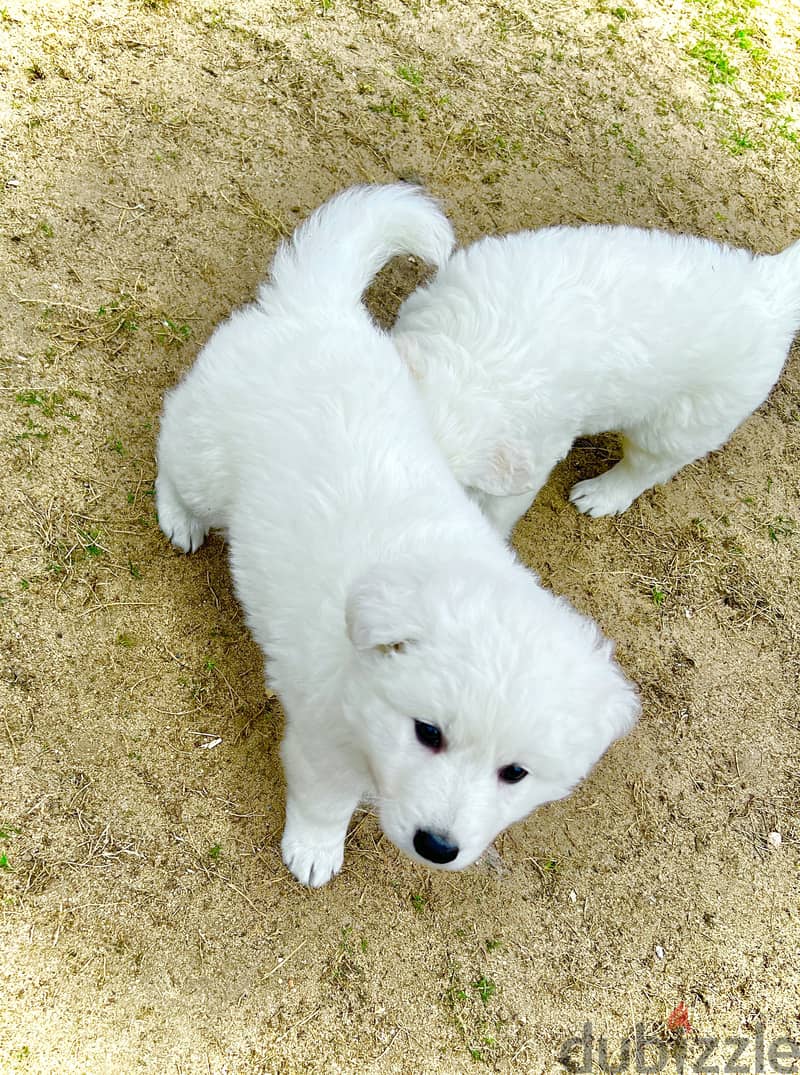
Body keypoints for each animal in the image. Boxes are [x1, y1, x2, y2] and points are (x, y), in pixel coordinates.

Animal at [155, 187, 636, 890]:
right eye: (428, 732)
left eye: (516, 772)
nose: (437, 846)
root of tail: (318, 304)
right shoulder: (322, 742)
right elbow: (325, 803)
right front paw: (315, 850)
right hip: (205, 458)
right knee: (171, 447)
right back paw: (179, 517)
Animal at [391, 223, 800, 537]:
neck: (474, 362)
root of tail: (769, 291)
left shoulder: (527, 462)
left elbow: (493, 514)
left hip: (680, 426)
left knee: (647, 468)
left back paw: (601, 495)